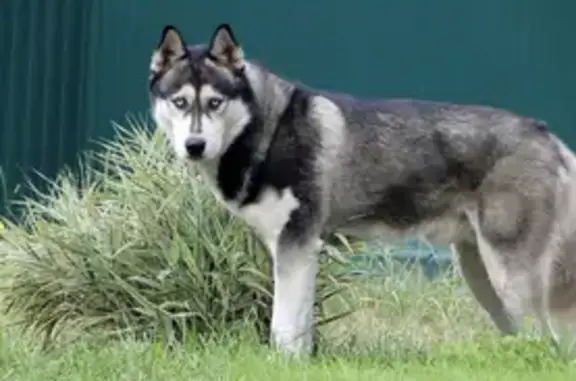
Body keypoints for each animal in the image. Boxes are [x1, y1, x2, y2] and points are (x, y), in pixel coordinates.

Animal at [150, 23, 576, 354]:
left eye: (215, 102)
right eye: (180, 102)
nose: (194, 145)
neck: (267, 130)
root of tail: (545, 133)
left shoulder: (296, 247)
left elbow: (283, 331)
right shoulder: (295, 252)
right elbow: (297, 334)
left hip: (512, 276)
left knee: (548, 343)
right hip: (482, 277)